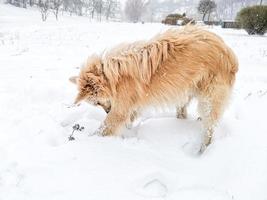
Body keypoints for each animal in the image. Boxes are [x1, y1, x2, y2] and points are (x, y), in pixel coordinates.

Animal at [69, 26, 239, 152]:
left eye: (97, 102)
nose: (106, 111)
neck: (112, 76)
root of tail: (228, 51)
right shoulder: (130, 106)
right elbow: (129, 119)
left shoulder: (120, 110)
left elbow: (105, 127)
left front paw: (89, 141)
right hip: (185, 92)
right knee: (183, 112)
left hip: (209, 100)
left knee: (209, 128)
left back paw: (203, 150)